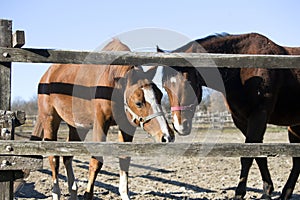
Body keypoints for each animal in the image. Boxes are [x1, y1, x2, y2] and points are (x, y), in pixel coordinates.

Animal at [30, 38, 175, 199]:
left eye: (160, 96)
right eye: (138, 102)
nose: (167, 136)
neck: (114, 84)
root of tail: (46, 76)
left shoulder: (127, 126)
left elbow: (124, 159)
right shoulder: (101, 123)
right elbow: (96, 162)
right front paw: (88, 194)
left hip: (77, 126)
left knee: (67, 156)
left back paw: (73, 190)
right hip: (50, 120)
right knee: (53, 158)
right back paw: (56, 192)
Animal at [158, 33, 298, 200]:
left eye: (187, 84)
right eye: (165, 87)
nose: (179, 126)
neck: (242, 68)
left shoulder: (258, 116)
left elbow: (248, 156)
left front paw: (239, 193)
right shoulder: (242, 121)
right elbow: (258, 154)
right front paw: (267, 190)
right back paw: (286, 193)